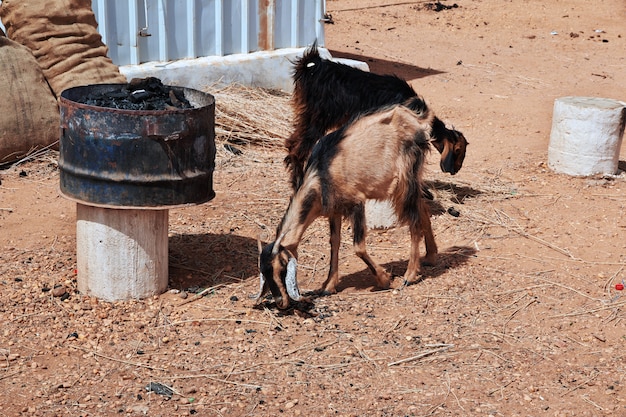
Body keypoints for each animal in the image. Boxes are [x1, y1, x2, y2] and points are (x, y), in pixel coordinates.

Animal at [254, 96, 434, 306]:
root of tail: (416, 119)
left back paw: (410, 275)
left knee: (414, 220)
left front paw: (384, 279)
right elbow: (334, 242)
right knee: (422, 209)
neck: (322, 175)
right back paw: (431, 256)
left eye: (282, 267)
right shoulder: (334, 210)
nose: (280, 302)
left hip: (406, 177)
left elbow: (358, 247)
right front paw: (328, 286)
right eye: (264, 272)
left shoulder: (356, 203)